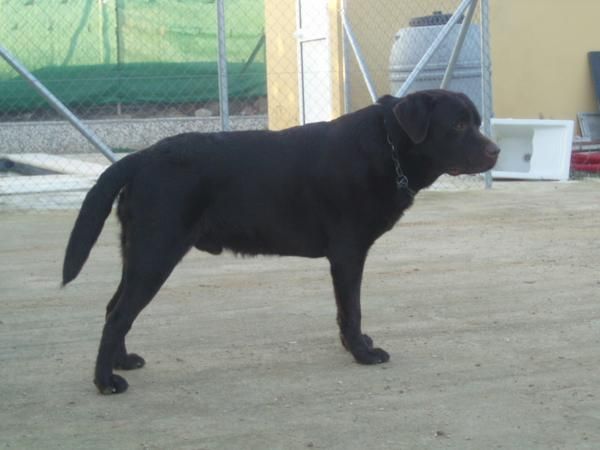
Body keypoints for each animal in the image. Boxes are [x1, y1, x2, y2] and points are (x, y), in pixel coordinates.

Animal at [62, 90, 502, 394]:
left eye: (476, 122)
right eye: (458, 125)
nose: (496, 150)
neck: (387, 147)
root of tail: (140, 156)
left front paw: (357, 346)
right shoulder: (347, 253)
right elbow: (352, 309)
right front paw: (361, 353)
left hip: (138, 251)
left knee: (114, 308)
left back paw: (121, 362)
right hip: (156, 252)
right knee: (119, 314)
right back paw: (105, 381)